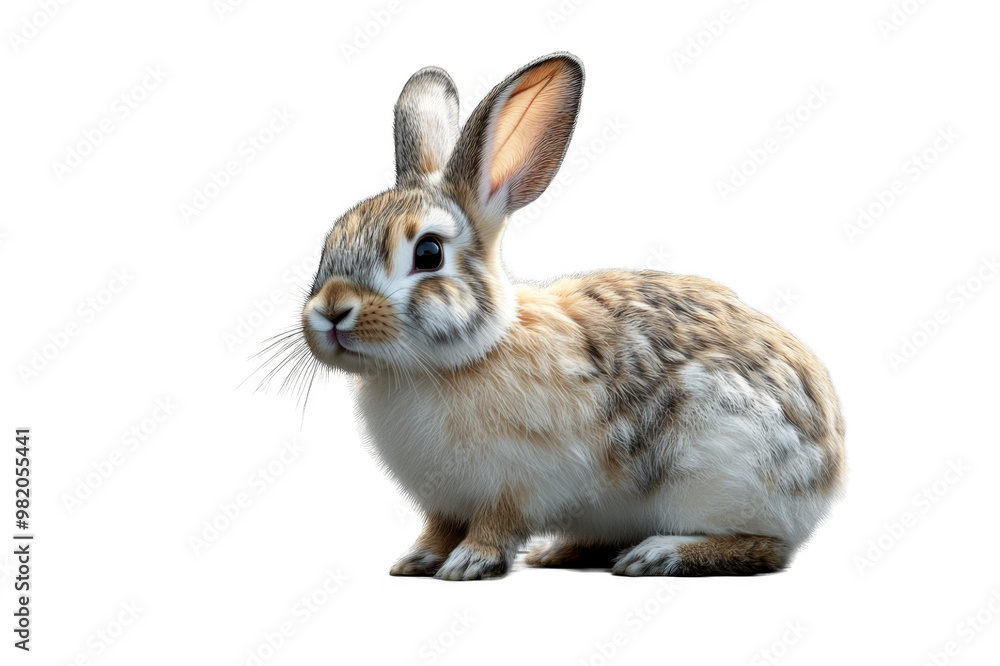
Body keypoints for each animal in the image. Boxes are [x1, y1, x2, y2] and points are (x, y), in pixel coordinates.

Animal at [298, 52, 845, 580]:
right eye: (330, 241)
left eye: (428, 253)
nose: (331, 311)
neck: (449, 363)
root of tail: (829, 475)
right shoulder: (444, 503)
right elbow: (438, 528)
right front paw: (416, 561)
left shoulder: (518, 483)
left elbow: (496, 525)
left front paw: (468, 563)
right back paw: (559, 552)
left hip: (724, 474)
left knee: (765, 548)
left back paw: (658, 555)